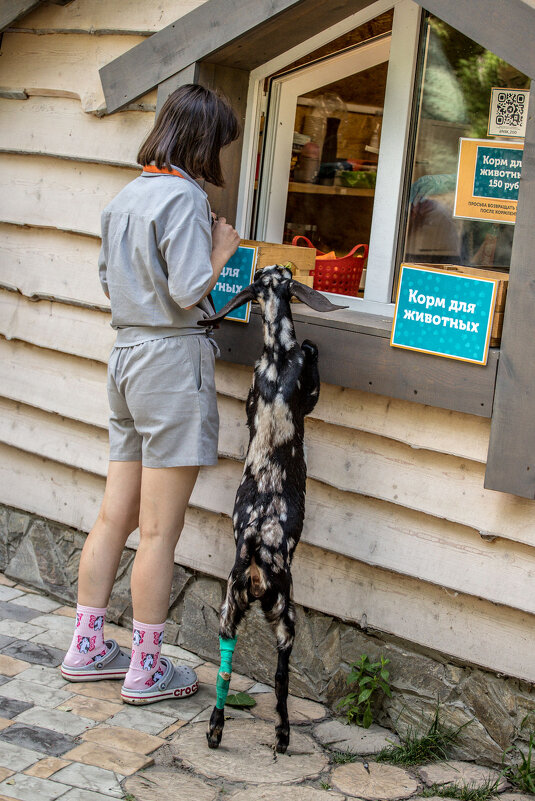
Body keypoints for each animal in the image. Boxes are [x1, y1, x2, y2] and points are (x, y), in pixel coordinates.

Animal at [198, 266, 348, 752]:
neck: (279, 356)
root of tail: (254, 550)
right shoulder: (308, 387)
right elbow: (313, 367)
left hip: (228, 608)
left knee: (225, 665)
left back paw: (216, 729)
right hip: (286, 614)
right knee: (282, 677)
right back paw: (282, 735)